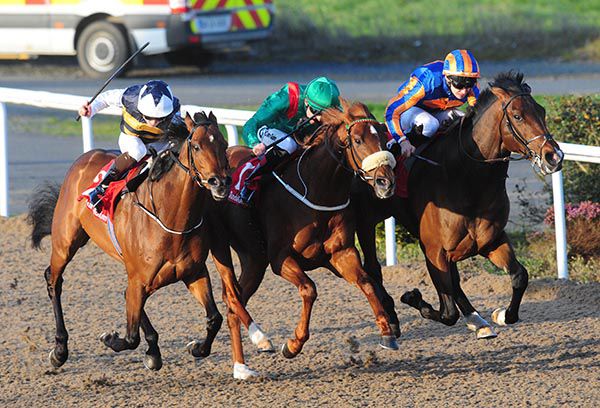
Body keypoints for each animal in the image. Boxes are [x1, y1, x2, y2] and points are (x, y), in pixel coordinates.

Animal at [28, 111, 270, 380]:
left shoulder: (193, 273)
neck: (170, 217)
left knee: (129, 295)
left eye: (224, 144)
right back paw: (60, 349)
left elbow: (213, 318)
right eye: (196, 146)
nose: (221, 183)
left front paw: (195, 347)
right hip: (66, 241)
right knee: (54, 280)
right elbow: (130, 337)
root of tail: (87, 156)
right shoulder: (141, 277)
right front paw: (110, 339)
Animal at [213, 99, 400, 364]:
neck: (317, 191)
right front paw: (293, 344)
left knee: (232, 303)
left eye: (384, 136)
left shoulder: (341, 253)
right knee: (231, 296)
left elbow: (366, 282)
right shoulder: (280, 258)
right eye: (357, 140)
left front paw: (387, 331)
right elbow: (309, 289)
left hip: (254, 261)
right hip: (248, 254)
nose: (386, 182)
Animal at [352, 72, 564, 338]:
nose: (554, 156)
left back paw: (477, 320)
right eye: (517, 116)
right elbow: (447, 313)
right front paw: (412, 297)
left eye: (542, 111)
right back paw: (391, 317)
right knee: (372, 267)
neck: (466, 177)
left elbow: (519, 276)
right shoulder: (434, 250)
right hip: (365, 221)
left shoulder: (491, 240)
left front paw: (501, 315)